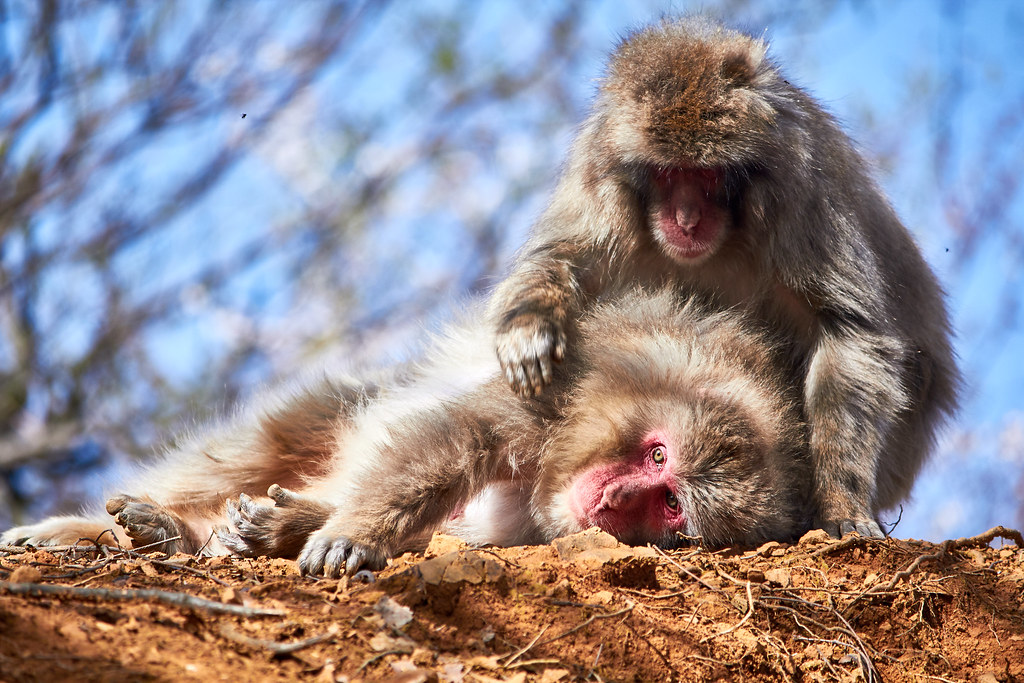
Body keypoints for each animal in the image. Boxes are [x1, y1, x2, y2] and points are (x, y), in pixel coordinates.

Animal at [3, 288, 809, 577]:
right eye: (657, 452)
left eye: (671, 502)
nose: (615, 499)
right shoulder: (566, 389)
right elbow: (458, 437)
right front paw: (353, 534)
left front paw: (294, 529)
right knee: (282, 433)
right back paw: (99, 528)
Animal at [489, 17, 960, 540]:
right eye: (667, 172)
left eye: (708, 173)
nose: (687, 219)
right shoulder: (599, 178)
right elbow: (562, 258)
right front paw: (528, 330)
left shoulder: (800, 190)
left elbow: (848, 329)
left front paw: (841, 500)